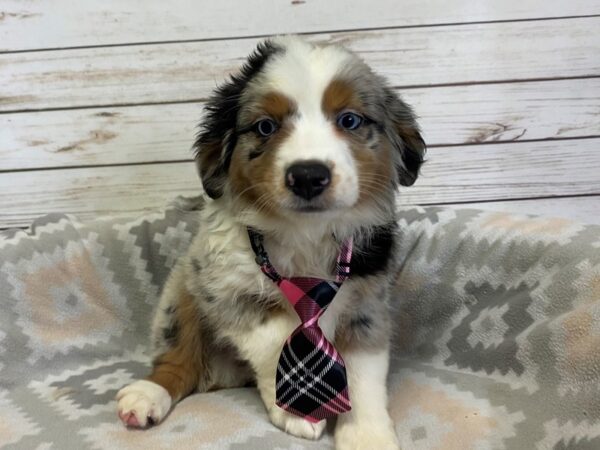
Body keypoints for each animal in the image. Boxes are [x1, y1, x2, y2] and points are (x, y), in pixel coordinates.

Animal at [117, 36, 424, 450]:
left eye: (349, 120)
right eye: (265, 126)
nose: (308, 175)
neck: (304, 234)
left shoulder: (367, 303)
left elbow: (364, 375)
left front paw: (367, 436)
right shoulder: (221, 287)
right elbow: (281, 341)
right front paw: (297, 410)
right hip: (179, 293)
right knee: (179, 358)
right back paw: (148, 394)